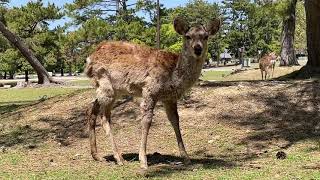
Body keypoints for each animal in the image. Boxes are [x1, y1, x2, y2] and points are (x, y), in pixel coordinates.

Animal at [84, 15, 220, 169]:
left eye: (206, 36)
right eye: (188, 36)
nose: (197, 48)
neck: (173, 75)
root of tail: (89, 59)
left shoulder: (170, 98)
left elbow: (175, 121)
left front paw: (186, 157)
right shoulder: (149, 90)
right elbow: (147, 121)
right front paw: (143, 160)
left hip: (110, 90)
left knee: (91, 108)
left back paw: (97, 155)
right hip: (106, 85)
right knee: (104, 117)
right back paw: (119, 158)